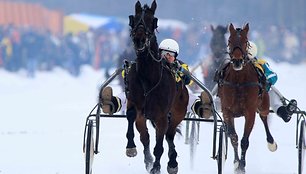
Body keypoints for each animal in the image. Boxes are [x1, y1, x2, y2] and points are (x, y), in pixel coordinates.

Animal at [123, 0, 188, 173]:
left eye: (152, 20)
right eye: (134, 18)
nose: (139, 39)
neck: (149, 79)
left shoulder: (162, 116)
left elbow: (160, 145)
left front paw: (157, 167)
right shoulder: (135, 103)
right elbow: (131, 115)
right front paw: (131, 147)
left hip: (178, 112)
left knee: (169, 135)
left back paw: (172, 162)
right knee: (145, 137)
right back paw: (148, 159)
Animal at [218, 22, 278, 173]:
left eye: (245, 41)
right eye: (229, 40)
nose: (237, 61)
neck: (239, 81)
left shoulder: (250, 112)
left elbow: (245, 141)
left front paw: (242, 165)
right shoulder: (227, 110)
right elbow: (233, 137)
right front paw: (236, 163)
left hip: (263, 103)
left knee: (264, 117)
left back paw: (271, 142)